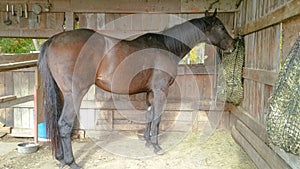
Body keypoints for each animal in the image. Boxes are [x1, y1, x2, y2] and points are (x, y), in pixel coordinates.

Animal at [38, 9, 234, 168]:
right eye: (221, 27)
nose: (232, 45)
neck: (166, 46)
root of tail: (53, 40)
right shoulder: (160, 90)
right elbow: (157, 118)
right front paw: (157, 146)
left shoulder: (150, 92)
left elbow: (149, 115)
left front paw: (147, 142)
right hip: (75, 94)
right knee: (64, 124)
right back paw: (71, 162)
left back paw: (60, 158)